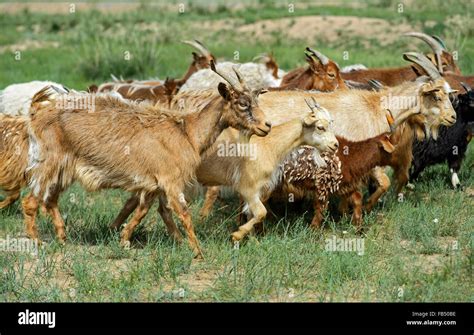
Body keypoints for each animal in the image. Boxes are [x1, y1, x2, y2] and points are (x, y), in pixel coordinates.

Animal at [23, 62, 270, 260]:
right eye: (242, 103)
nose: (266, 126)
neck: (187, 132)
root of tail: (37, 113)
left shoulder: (153, 183)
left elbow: (146, 211)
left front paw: (126, 239)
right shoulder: (171, 181)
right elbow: (182, 214)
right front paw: (198, 251)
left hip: (64, 170)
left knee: (50, 200)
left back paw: (62, 237)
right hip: (48, 163)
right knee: (31, 201)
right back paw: (37, 242)